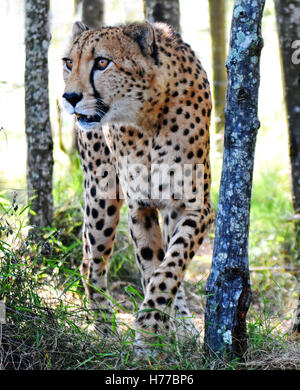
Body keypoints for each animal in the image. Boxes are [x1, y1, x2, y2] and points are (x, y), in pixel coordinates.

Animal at [62, 19, 213, 346]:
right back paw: (104, 327)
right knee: (91, 262)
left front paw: (153, 325)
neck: (148, 116)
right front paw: (153, 330)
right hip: (101, 196)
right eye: (69, 62)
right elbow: (151, 266)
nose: (70, 98)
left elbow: (171, 264)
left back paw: (182, 323)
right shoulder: (140, 206)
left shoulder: (195, 207)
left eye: (102, 62)